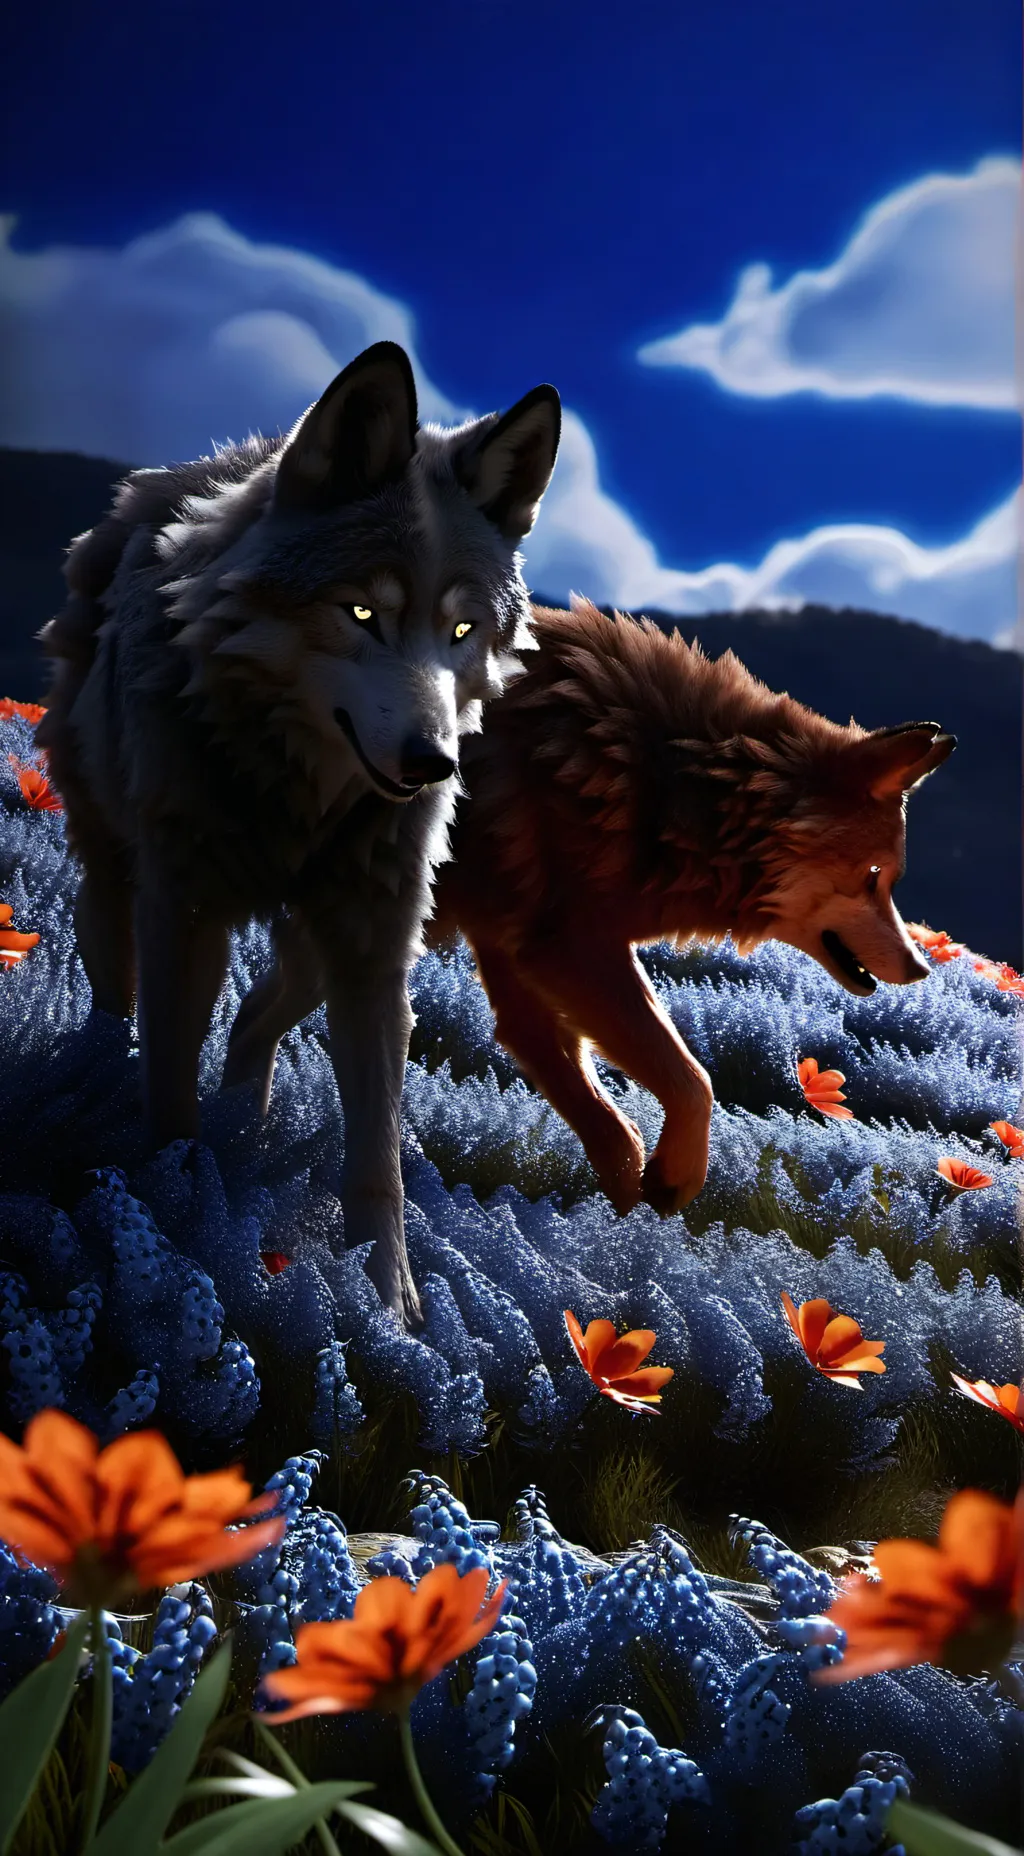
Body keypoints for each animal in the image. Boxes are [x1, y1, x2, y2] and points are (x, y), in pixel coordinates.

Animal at [37, 341, 561, 1324]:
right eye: (362, 614)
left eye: (461, 629)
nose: (434, 763)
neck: (296, 792)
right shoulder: (185, 916)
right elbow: (170, 1097)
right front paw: (177, 1218)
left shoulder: (374, 949)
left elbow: (378, 1160)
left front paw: (390, 1312)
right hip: (117, 879)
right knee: (116, 1004)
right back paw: (96, 1085)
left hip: (347, 937)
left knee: (255, 1022)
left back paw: (247, 1129)